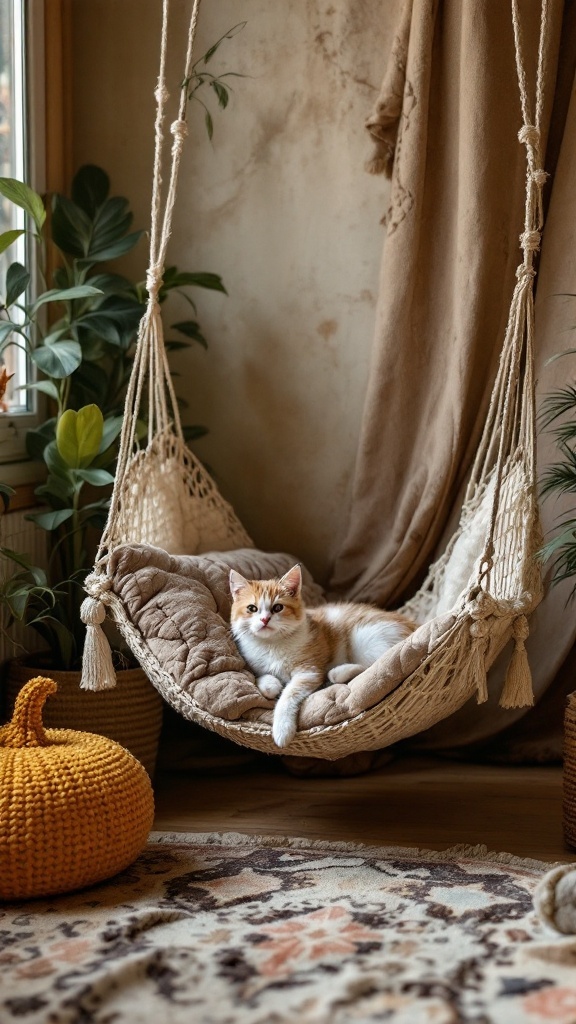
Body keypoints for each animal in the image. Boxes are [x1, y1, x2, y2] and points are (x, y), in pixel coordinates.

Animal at [226, 565, 414, 749]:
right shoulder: (255, 664)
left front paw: (282, 730)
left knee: (377, 665)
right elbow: (262, 677)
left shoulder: (309, 671)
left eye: (278, 607)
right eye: (252, 608)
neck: (272, 644)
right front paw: (271, 683)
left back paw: (339, 673)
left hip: (367, 638)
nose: (265, 619)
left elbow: (289, 694)